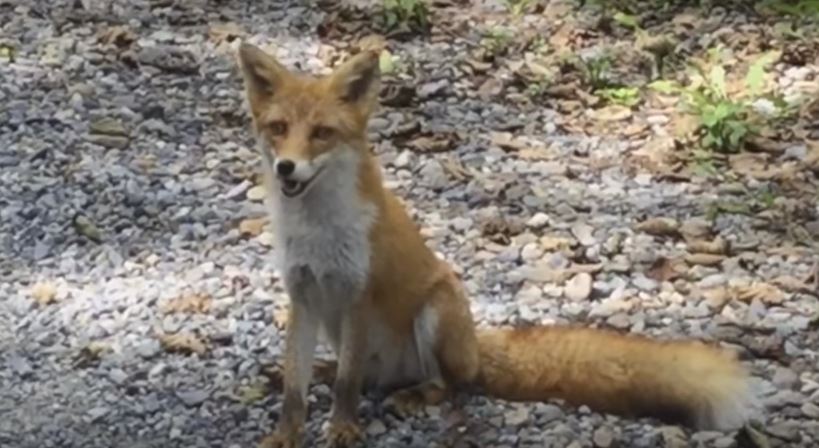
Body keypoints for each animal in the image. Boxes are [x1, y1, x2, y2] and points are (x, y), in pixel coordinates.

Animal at [234, 43, 760, 448]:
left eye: (322, 134)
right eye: (278, 129)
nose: (286, 168)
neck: (316, 231)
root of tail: (475, 346)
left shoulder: (359, 294)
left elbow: (347, 387)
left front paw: (343, 429)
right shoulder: (303, 295)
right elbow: (296, 390)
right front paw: (286, 433)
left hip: (435, 310)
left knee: (444, 384)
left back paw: (415, 395)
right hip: (340, 328)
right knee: (362, 376)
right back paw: (328, 372)